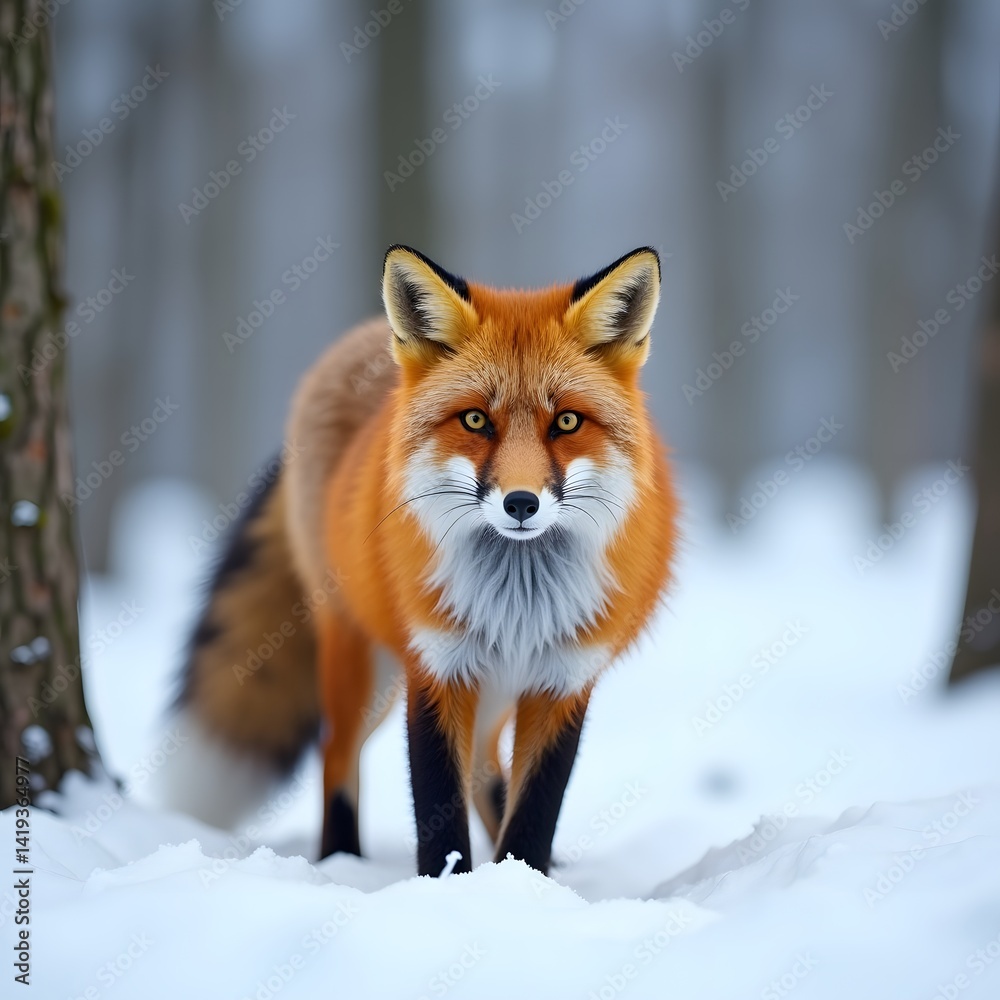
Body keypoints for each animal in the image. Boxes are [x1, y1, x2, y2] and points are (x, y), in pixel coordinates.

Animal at [169, 245, 678, 877]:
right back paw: (340, 862)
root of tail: (362, 336)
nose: (521, 503)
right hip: (361, 662)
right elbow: (438, 807)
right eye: (476, 420)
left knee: (484, 764)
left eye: (566, 422)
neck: (518, 598)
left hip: (491, 687)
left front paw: (524, 882)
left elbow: (536, 810)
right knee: (336, 754)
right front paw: (448, 887)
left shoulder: (563, 679)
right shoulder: (436, 666)